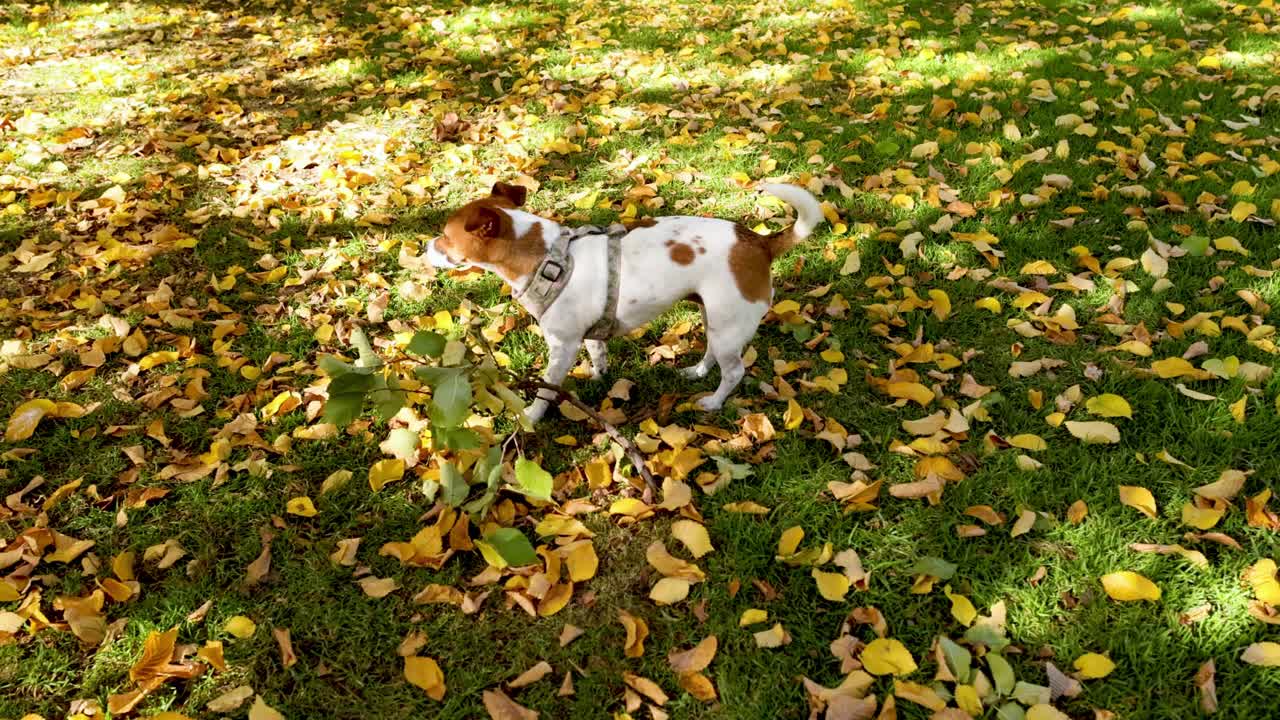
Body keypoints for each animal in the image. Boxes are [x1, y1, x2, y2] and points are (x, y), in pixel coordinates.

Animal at [424, 180, 824, 420]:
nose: (424, 247)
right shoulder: (588, 334)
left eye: (445, 237)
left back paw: (713, 401)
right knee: (712, 352)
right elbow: (598, 353)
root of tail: (759, 243)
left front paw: (531, 416)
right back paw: (696, 372)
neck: (546, 257)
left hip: (729, 325)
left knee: (735, 371)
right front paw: (598, 376)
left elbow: (546, 389)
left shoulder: (562, 345)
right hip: (715, 317)